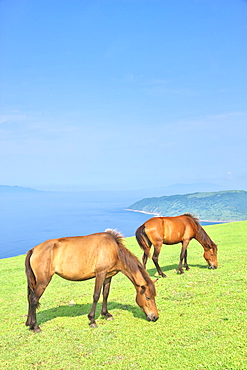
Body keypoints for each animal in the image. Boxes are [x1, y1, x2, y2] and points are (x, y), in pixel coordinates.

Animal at [25, 228, 158, 332]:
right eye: (147, 297)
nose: (155, 317)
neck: (114, 250)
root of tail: (33, 250)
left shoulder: (108, 276)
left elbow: (105, 294)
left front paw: (106, 314)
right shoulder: (100, 274)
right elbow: (96, 295)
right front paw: (92, 320)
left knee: (30, 298)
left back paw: (29, 324)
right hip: (43, 281)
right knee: (34, 299)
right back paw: (35, 326)